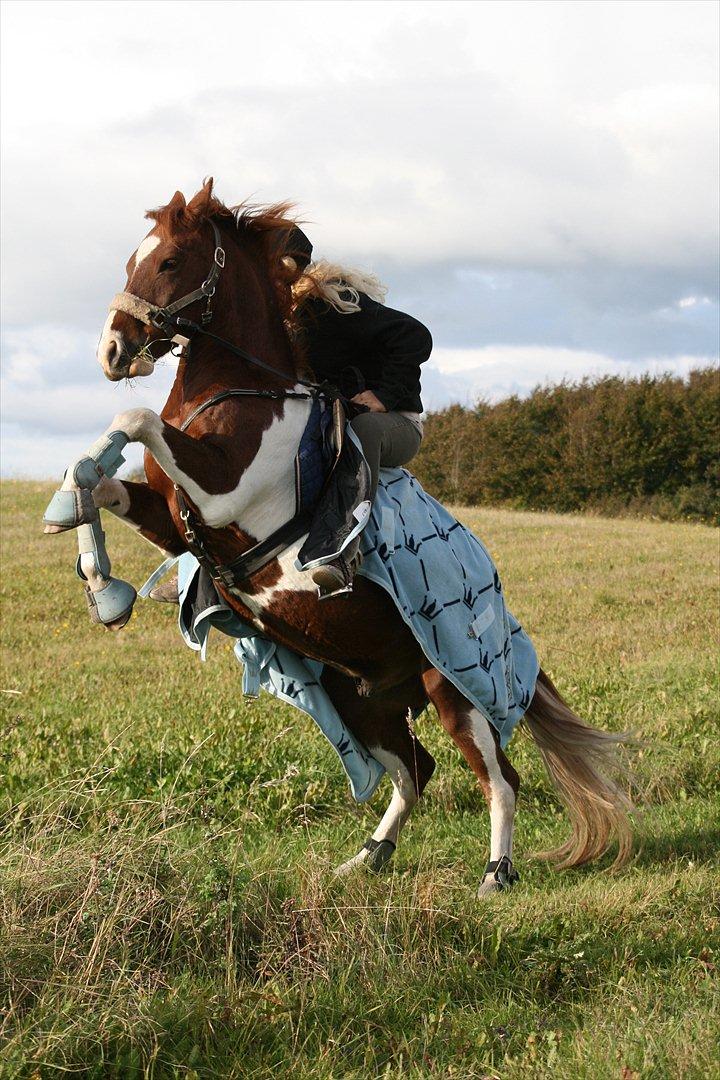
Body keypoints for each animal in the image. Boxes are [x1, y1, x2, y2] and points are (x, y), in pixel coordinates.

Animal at [45, 179, 634, 894]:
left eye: (170, 261)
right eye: (134, 258)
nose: (112, 351)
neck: (240, 389)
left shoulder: (223, 492)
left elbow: (132, 418)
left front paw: (100, 573)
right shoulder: (173, 522)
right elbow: (102, 481)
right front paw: (91, 562)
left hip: (454, 689)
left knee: (499, 778)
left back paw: (496, 871)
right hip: (357, 695)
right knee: (413, 771)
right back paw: (368, 857)